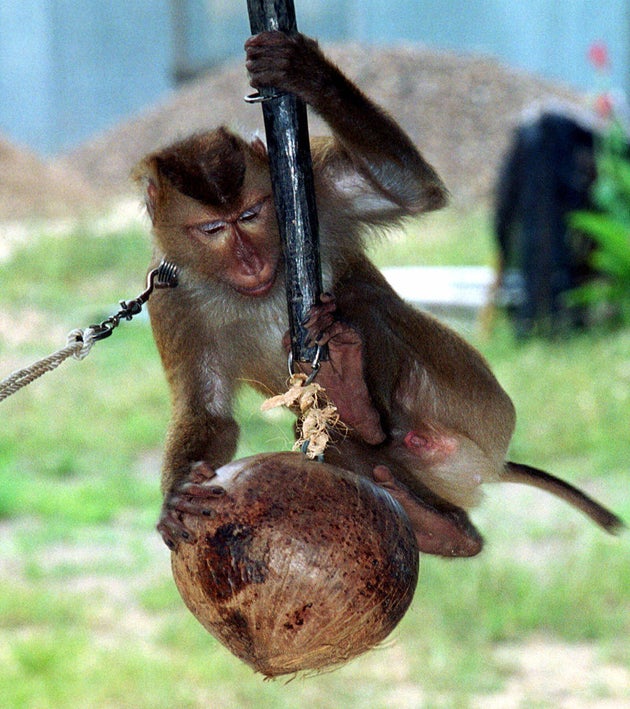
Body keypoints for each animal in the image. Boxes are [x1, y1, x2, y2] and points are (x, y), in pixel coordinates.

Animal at [135, 30, 628, 556]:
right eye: (212, 229)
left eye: (250, 214)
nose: (251, 263)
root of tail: (487, 465)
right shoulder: (171, 300)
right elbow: (207, 412)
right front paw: (175, 497)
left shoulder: (322, 188)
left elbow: (415, 192)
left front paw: (305, 71)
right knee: (336, 437)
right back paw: (443, 528)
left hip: (482, 409)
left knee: (360, 302)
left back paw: (357, 395)